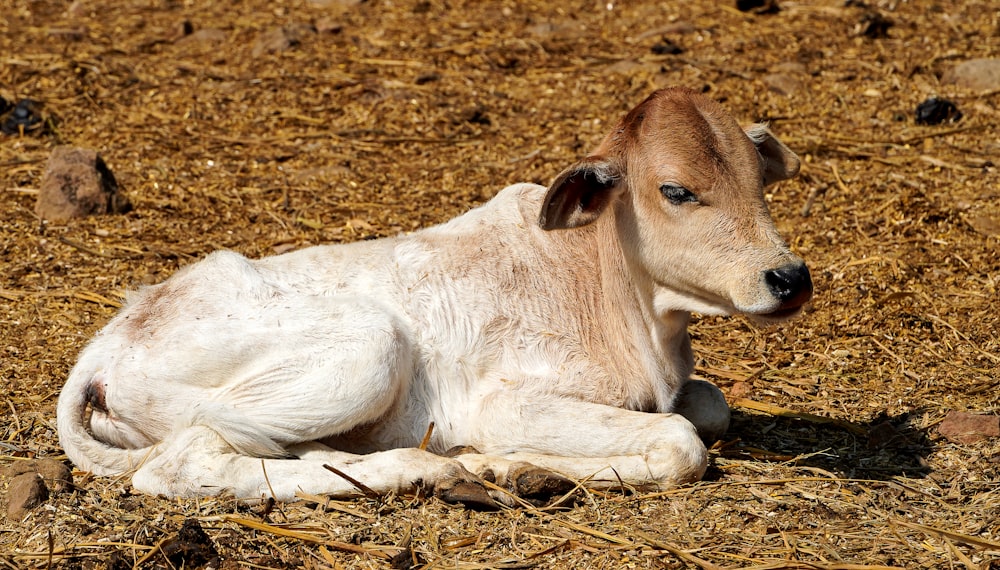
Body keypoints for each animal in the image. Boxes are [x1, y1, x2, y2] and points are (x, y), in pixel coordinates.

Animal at [56, 86, 812, 504]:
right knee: (187, 460)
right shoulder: (507, 400)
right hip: (367, 349)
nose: (789, 278)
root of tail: (111, 338)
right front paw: (515, 464)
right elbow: (683, 442)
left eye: (761, 180)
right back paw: (431, 469)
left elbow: (709, 408)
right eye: (676, 190)